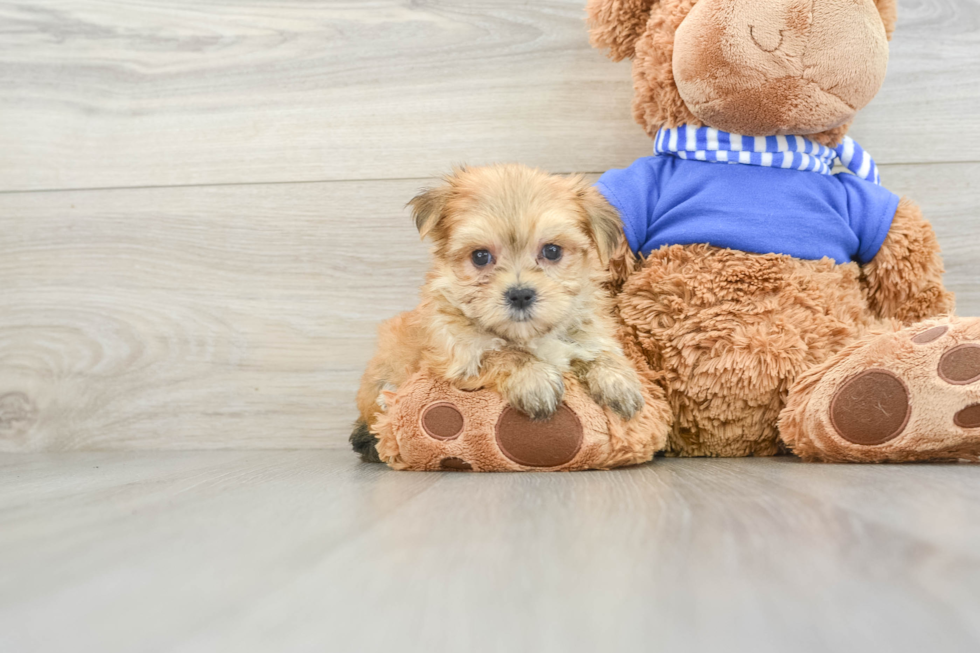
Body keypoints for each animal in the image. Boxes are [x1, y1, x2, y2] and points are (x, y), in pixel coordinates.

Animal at [352, 164, 644, 454]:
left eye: (552, 251)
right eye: (480, 256)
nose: (520, 294)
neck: (529, 337)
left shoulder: (587, 333)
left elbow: (598, 352)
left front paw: (618, 380)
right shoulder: (456, 358)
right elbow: (501, 354)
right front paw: (534, 378)